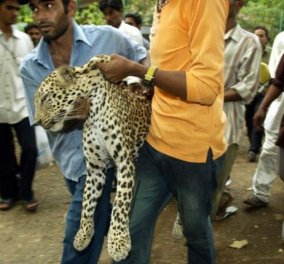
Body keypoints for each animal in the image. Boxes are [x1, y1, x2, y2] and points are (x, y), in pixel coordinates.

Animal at [33, 54, 152, 260]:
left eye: (46, 98)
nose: (36, 122)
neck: (94, 111)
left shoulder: (124, 163)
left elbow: (121, 204)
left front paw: (118, 241)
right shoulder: (95, 169)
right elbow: (87, 203)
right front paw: (83, 234)